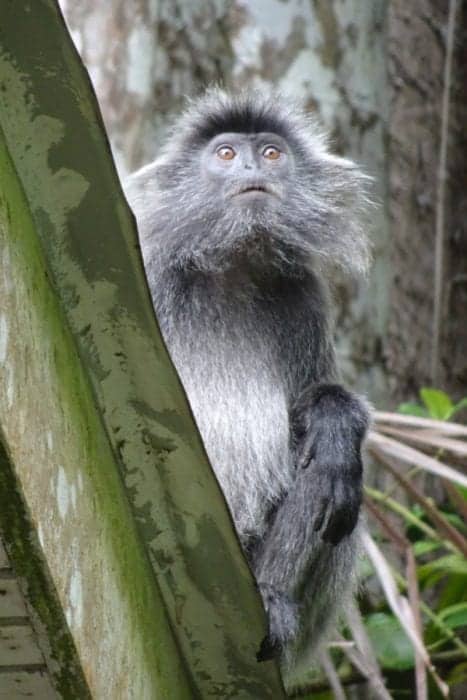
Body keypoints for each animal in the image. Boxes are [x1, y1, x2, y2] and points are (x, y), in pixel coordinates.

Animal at [124, 89, 371, 667]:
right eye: (227, 154)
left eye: (272, 153)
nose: (254, 167)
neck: (233, 265)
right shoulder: (151, 274)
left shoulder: (303, 296)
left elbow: (317, 411)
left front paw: (335, 419)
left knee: (334, 477)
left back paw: (272, 594)